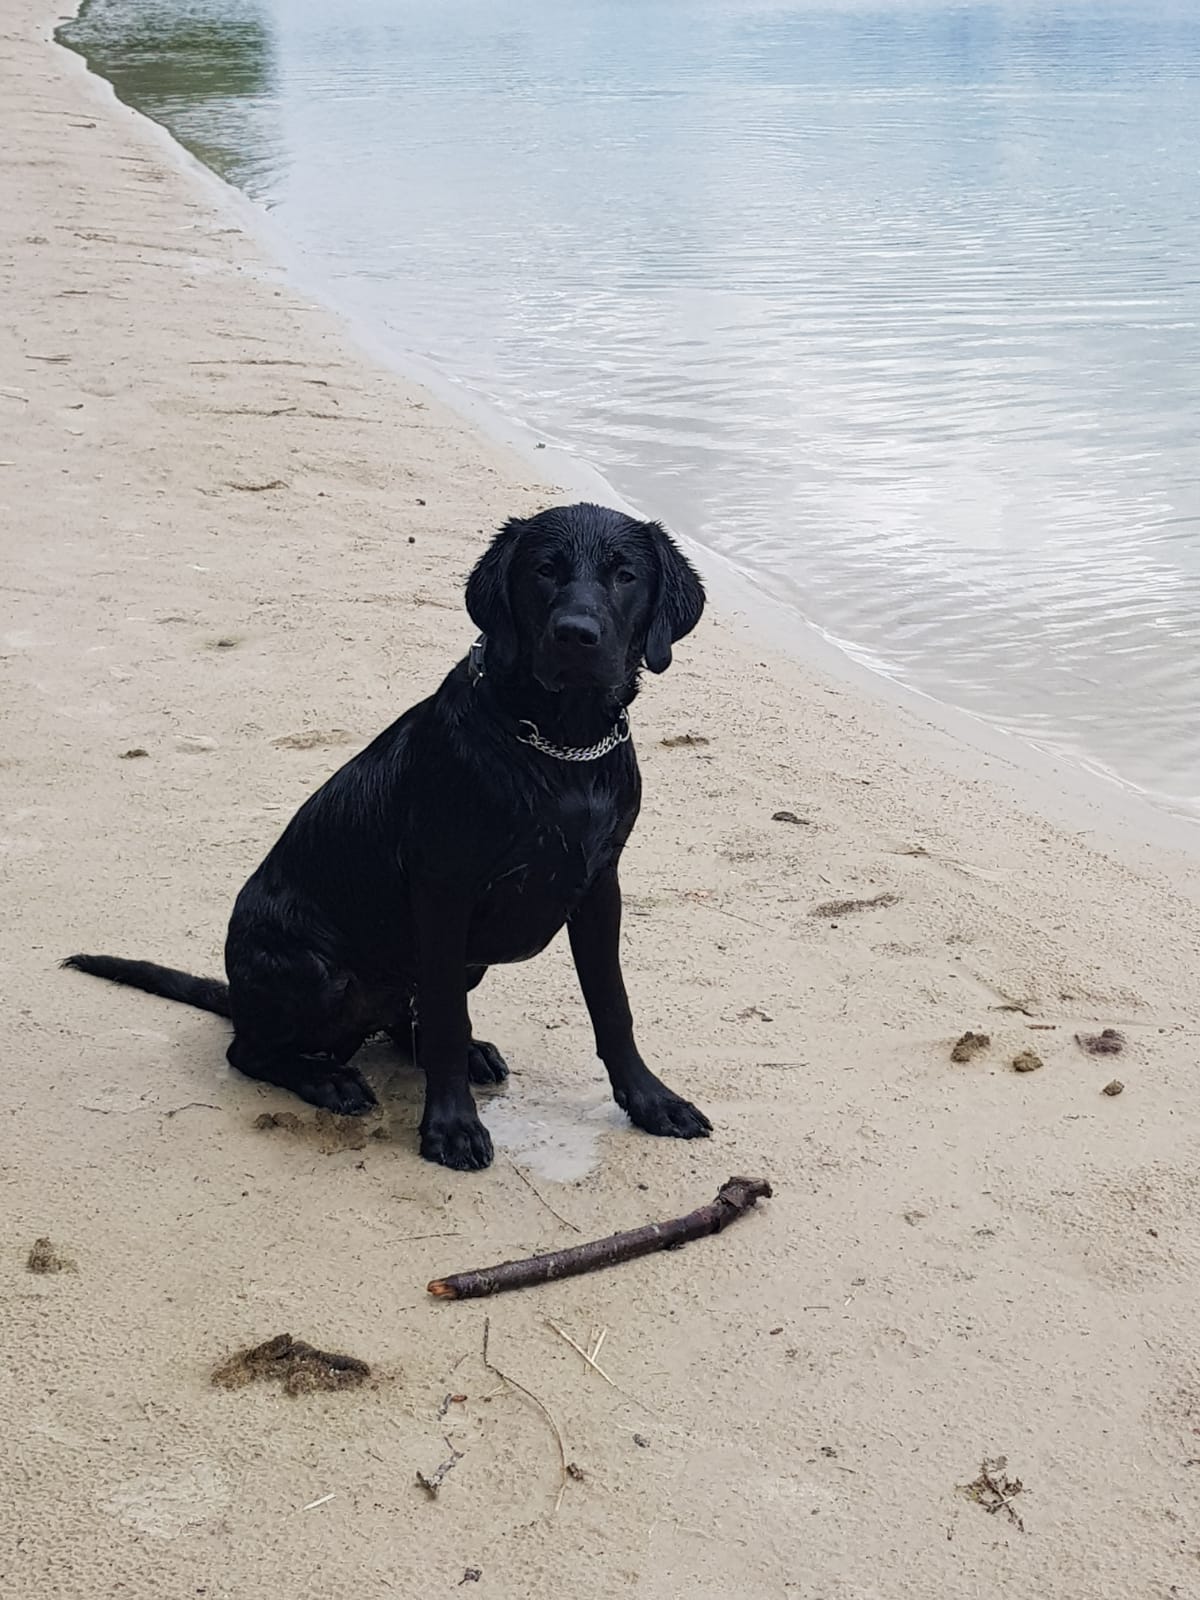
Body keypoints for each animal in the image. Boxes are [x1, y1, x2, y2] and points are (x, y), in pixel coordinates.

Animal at [68, 505, 713, 1171]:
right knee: (251, 1050)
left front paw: (652, 1102)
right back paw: (327, 1079)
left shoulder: (598, 886)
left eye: (625, 575)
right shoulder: (445, 890)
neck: (558, 749)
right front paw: (452, 1127)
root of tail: (238, 995)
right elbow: (449, 1021)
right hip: (318, 970)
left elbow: (612, 1006)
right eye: (543, 570)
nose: (576, 635)